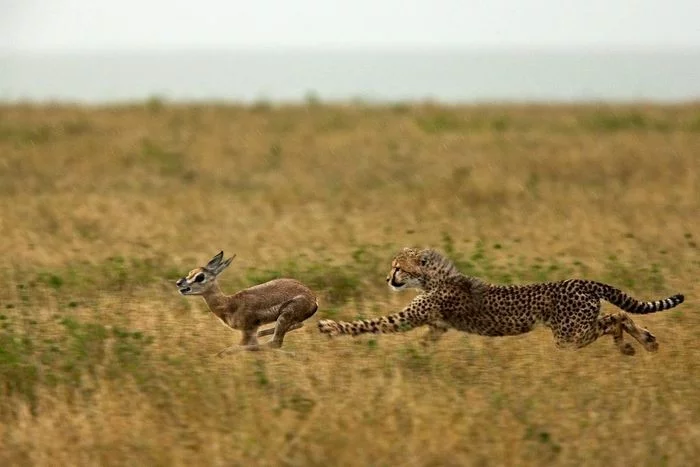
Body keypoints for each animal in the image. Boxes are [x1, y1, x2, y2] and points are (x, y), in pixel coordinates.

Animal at [320, 249, 688, 354]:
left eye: (398, 267)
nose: (387, 279)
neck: (432, 278)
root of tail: (583, 280)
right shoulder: (438, 327)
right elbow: (425, 343)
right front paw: (417, 358)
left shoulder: (408, 319)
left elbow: (369, 323)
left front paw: (329, 326)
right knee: (619, 317)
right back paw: (645, 342)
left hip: (568, 334)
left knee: (614, 319)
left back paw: (632, 344)